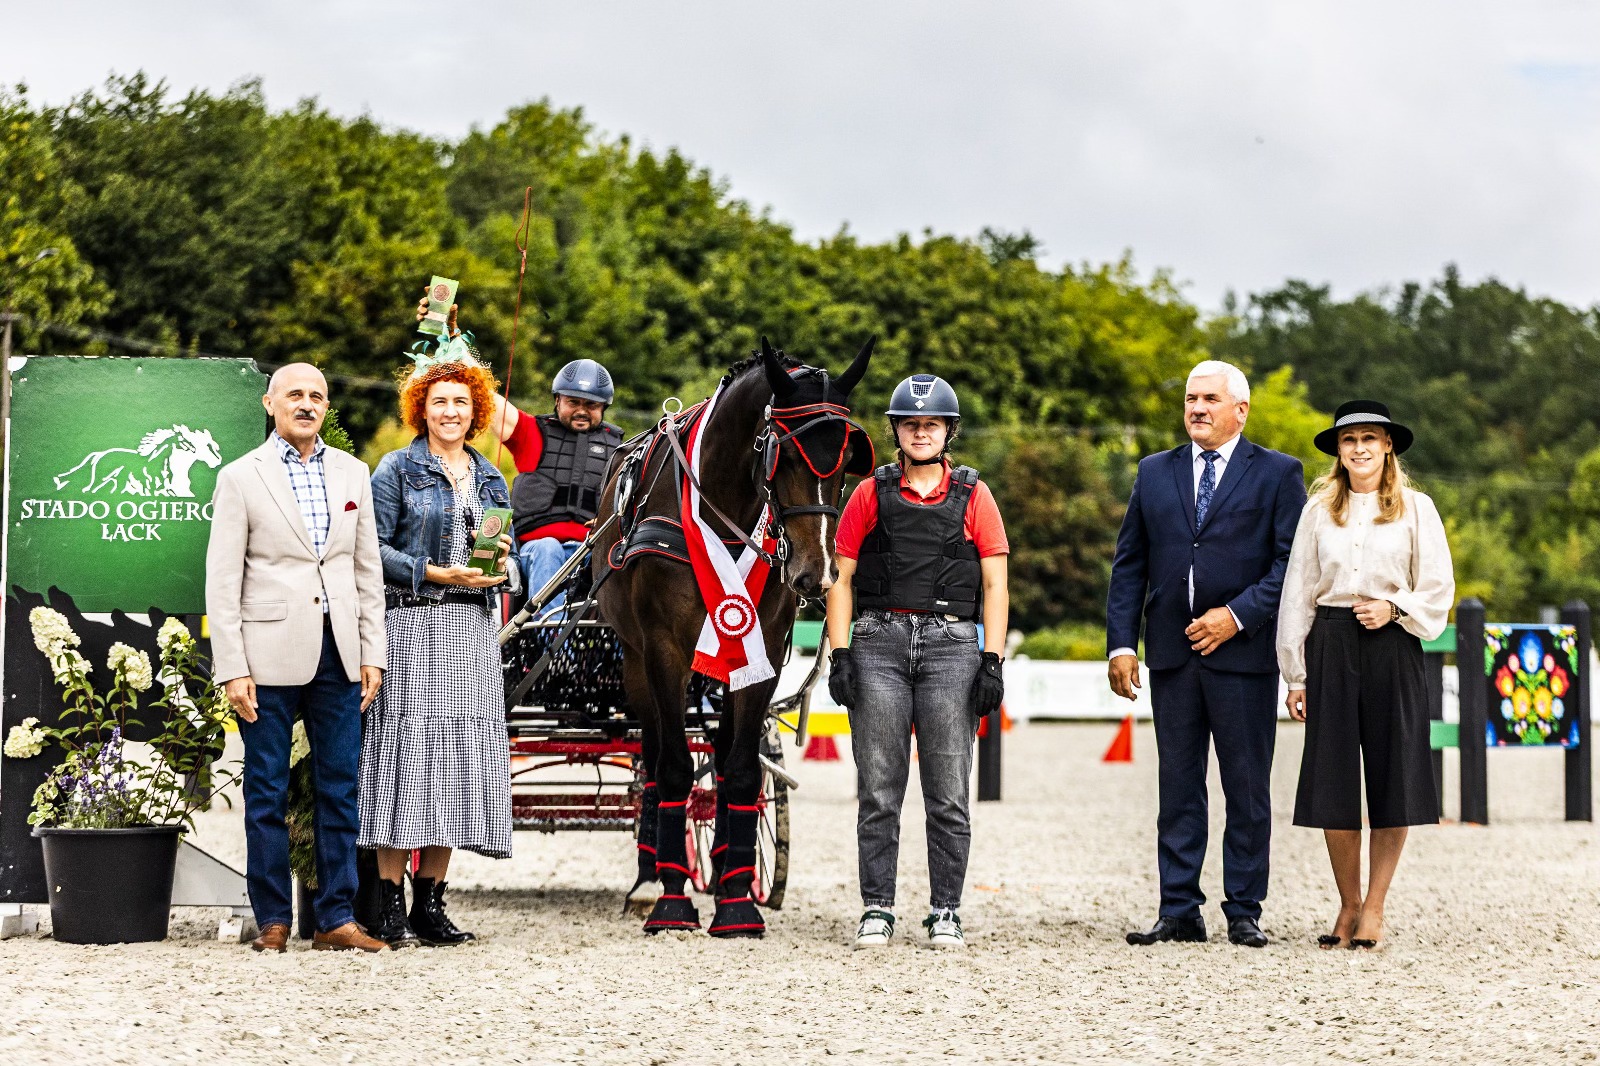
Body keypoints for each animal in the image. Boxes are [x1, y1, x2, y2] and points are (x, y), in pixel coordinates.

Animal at [594, 336, 875, 936]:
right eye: (781, 455)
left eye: (847, 460)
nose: (815, 574)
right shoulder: (664, 651)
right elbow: (675, 766)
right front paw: (672, 902)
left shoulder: (761, 650)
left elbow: (742, 769)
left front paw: (738, 903)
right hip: (635, 661)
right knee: (653, 757)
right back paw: (652, 879)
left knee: (721, 760)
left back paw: (726, 867)